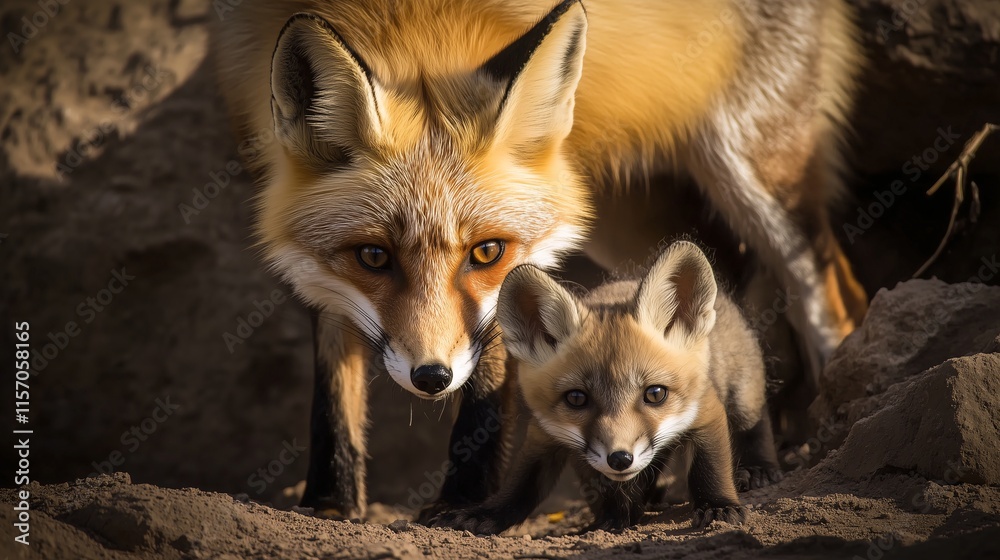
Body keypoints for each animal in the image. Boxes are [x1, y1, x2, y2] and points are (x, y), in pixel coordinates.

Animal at [432, 241, 782, 533]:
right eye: (576, 399)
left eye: (655, 394)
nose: (620, 458)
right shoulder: (544, 434)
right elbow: (521, 487)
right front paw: (486, 514)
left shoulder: (705, 410)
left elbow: (709, 468)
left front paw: (718, 507)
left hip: (744, 394)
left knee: (756, 423)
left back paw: (758, 468)